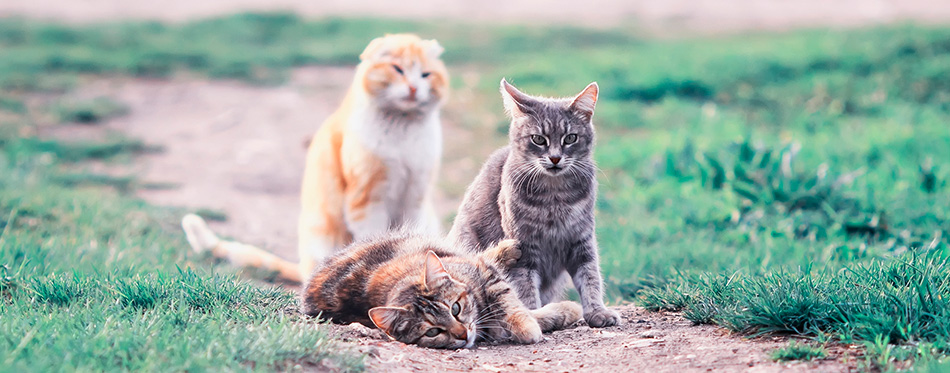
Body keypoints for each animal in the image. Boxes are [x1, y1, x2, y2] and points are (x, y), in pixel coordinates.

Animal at [182, 33, 450, 282]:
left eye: (426, 75)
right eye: (397, 69)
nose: (414, 88)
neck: (403, 130)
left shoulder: (415, 194)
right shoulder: (366, 200)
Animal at [302, 232, 584, 348]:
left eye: (456, 308)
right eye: (433, 331)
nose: (462, 334)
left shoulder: (485, 275)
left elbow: (512, 306)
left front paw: (529, 327)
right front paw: (559, 314)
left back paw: (508, 249)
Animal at [448, 78, 624, 326]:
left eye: (570, 138)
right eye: (539, 139)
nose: (555, 158)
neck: (555, 197)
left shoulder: (581, 238)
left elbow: (590, 275)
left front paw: (597, 311)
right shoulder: (523, 246)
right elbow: (524, 284)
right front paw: (534, 314)